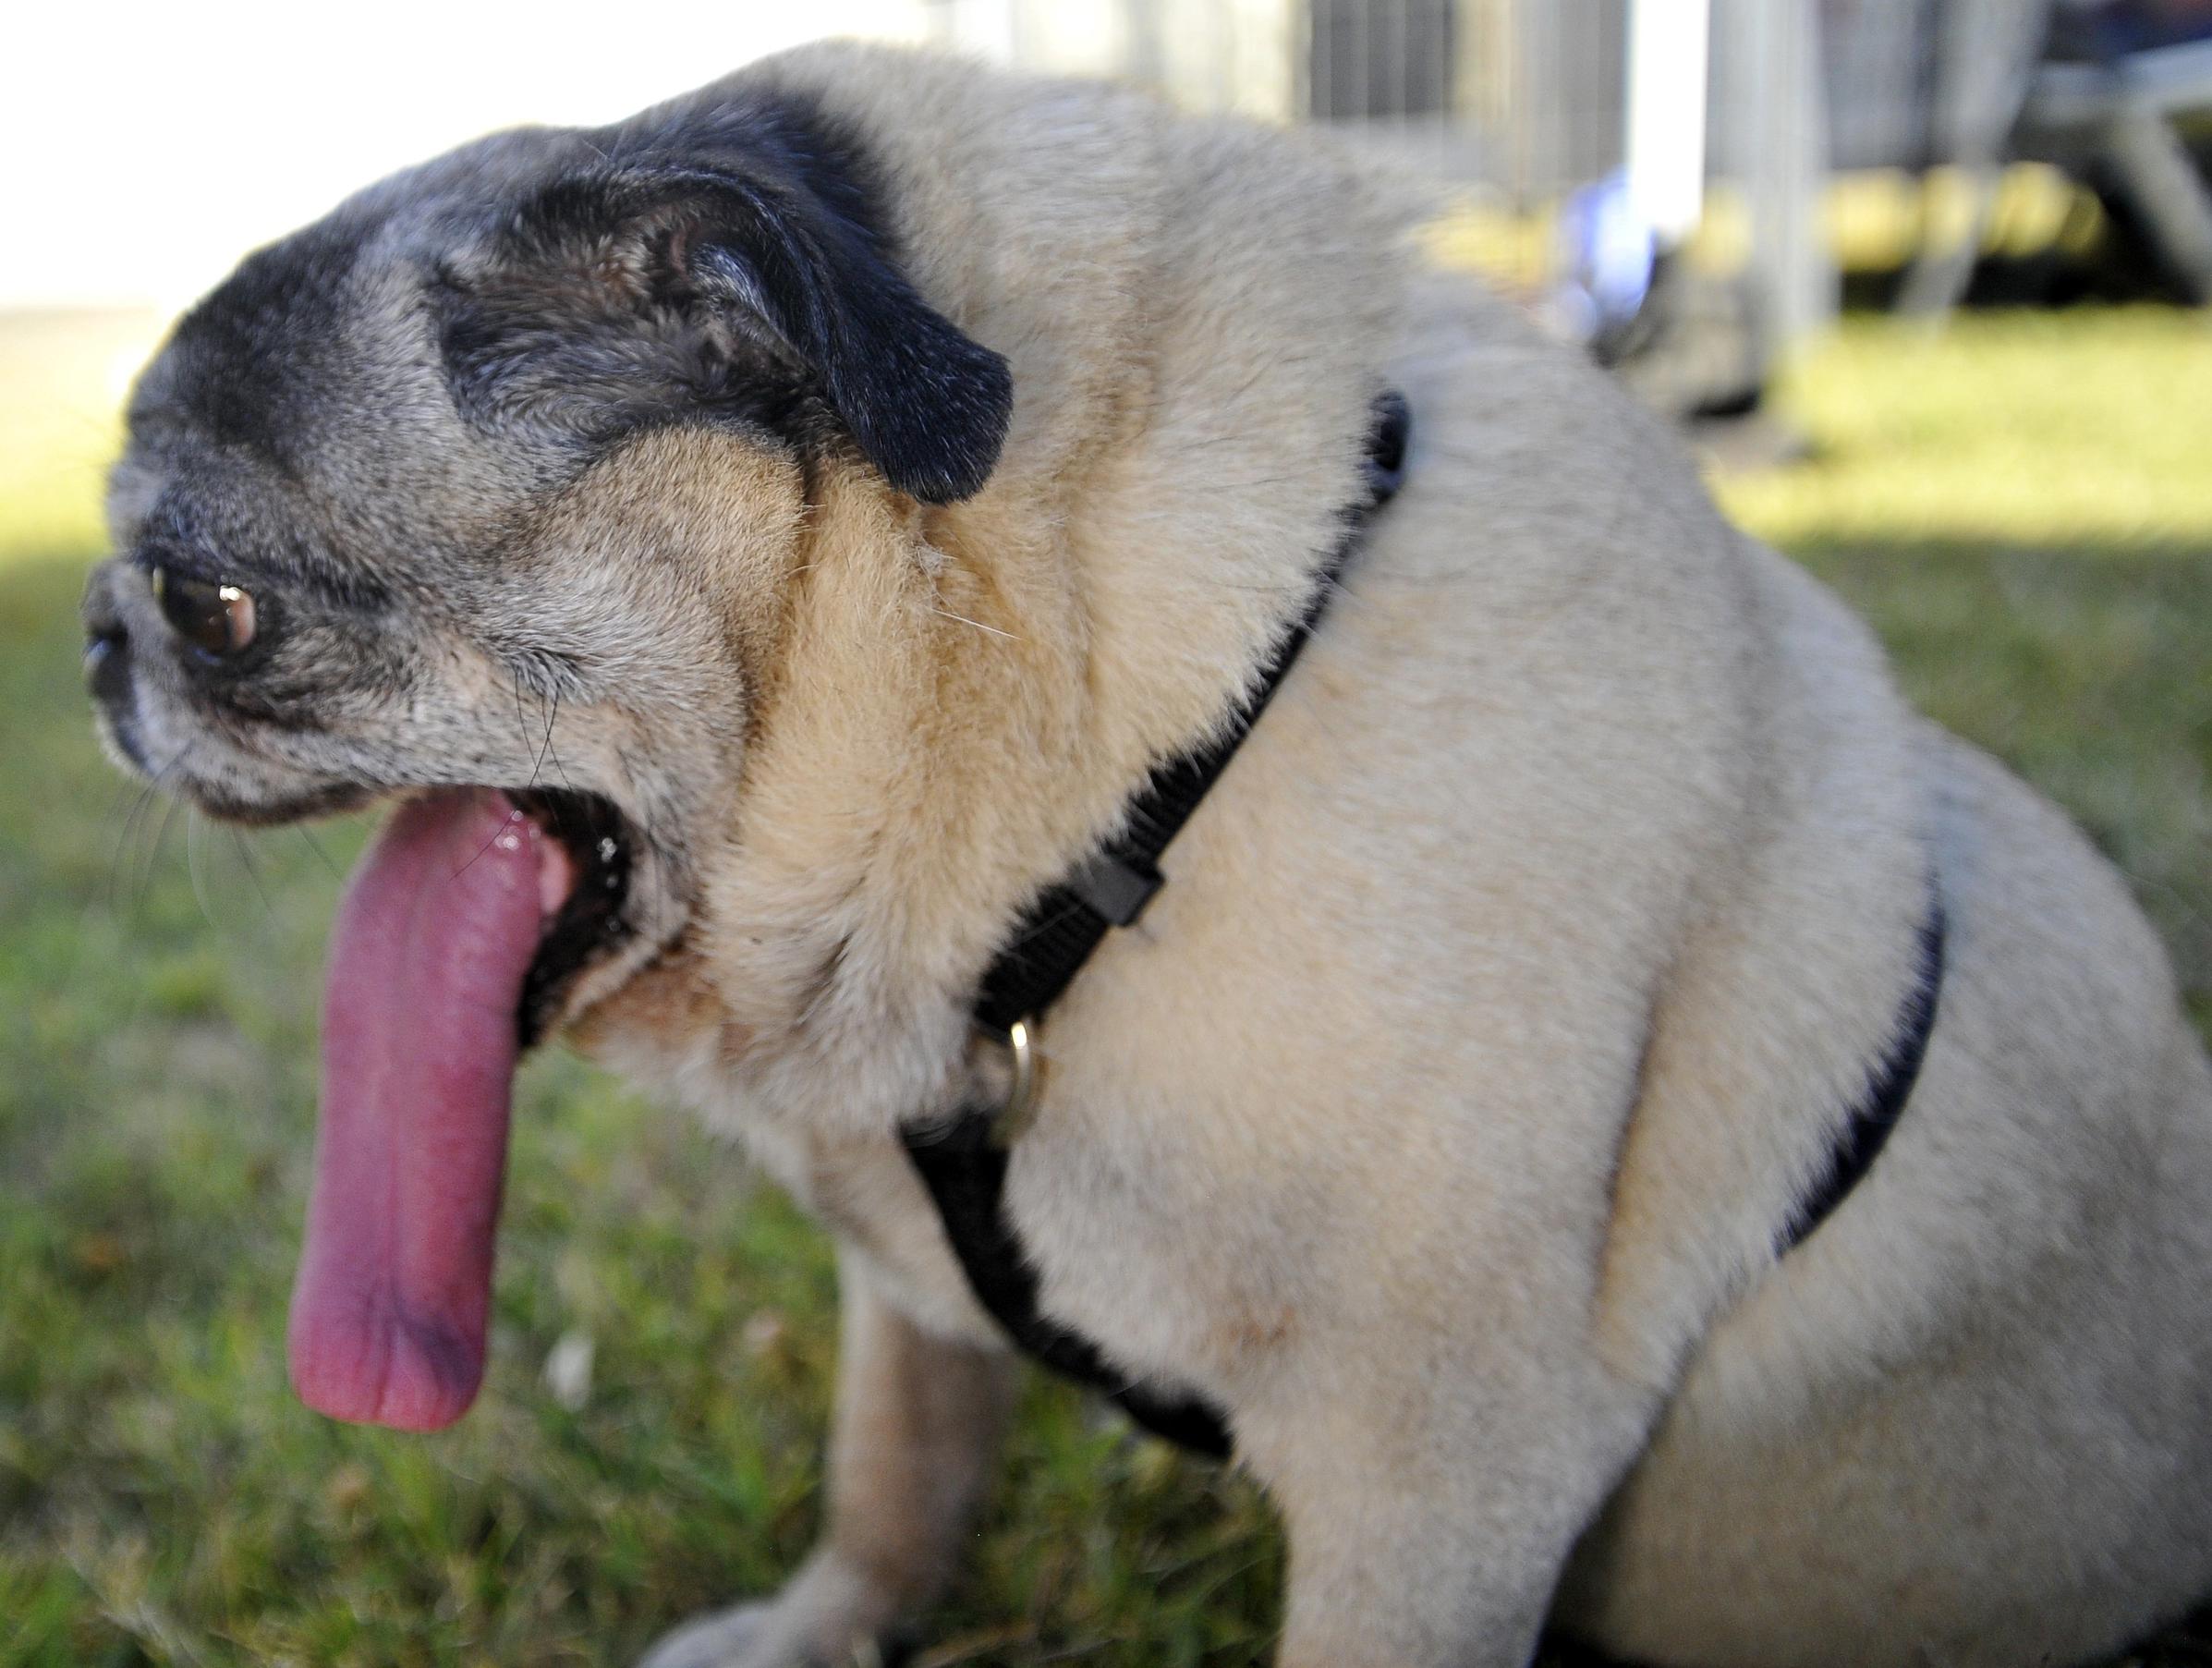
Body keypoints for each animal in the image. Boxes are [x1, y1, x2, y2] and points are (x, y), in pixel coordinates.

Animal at [78, 35, 2212, 1663]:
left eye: (213, 605)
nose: (97, 642)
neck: (1121, 791)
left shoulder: (1430, 1488)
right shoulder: (906, 1305)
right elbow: (894, 1471)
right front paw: (821, 1629)